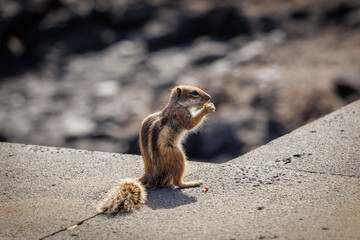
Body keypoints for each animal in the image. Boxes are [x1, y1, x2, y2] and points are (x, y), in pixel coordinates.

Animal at [97, 85, 215, 214]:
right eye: (194, 93)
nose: (209, 97)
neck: (177, 104)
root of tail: (150, 174)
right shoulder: (179, 114)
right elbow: (190, 124)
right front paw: (207, 109)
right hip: (177, 155)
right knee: (177, 182)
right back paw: (192, 183)